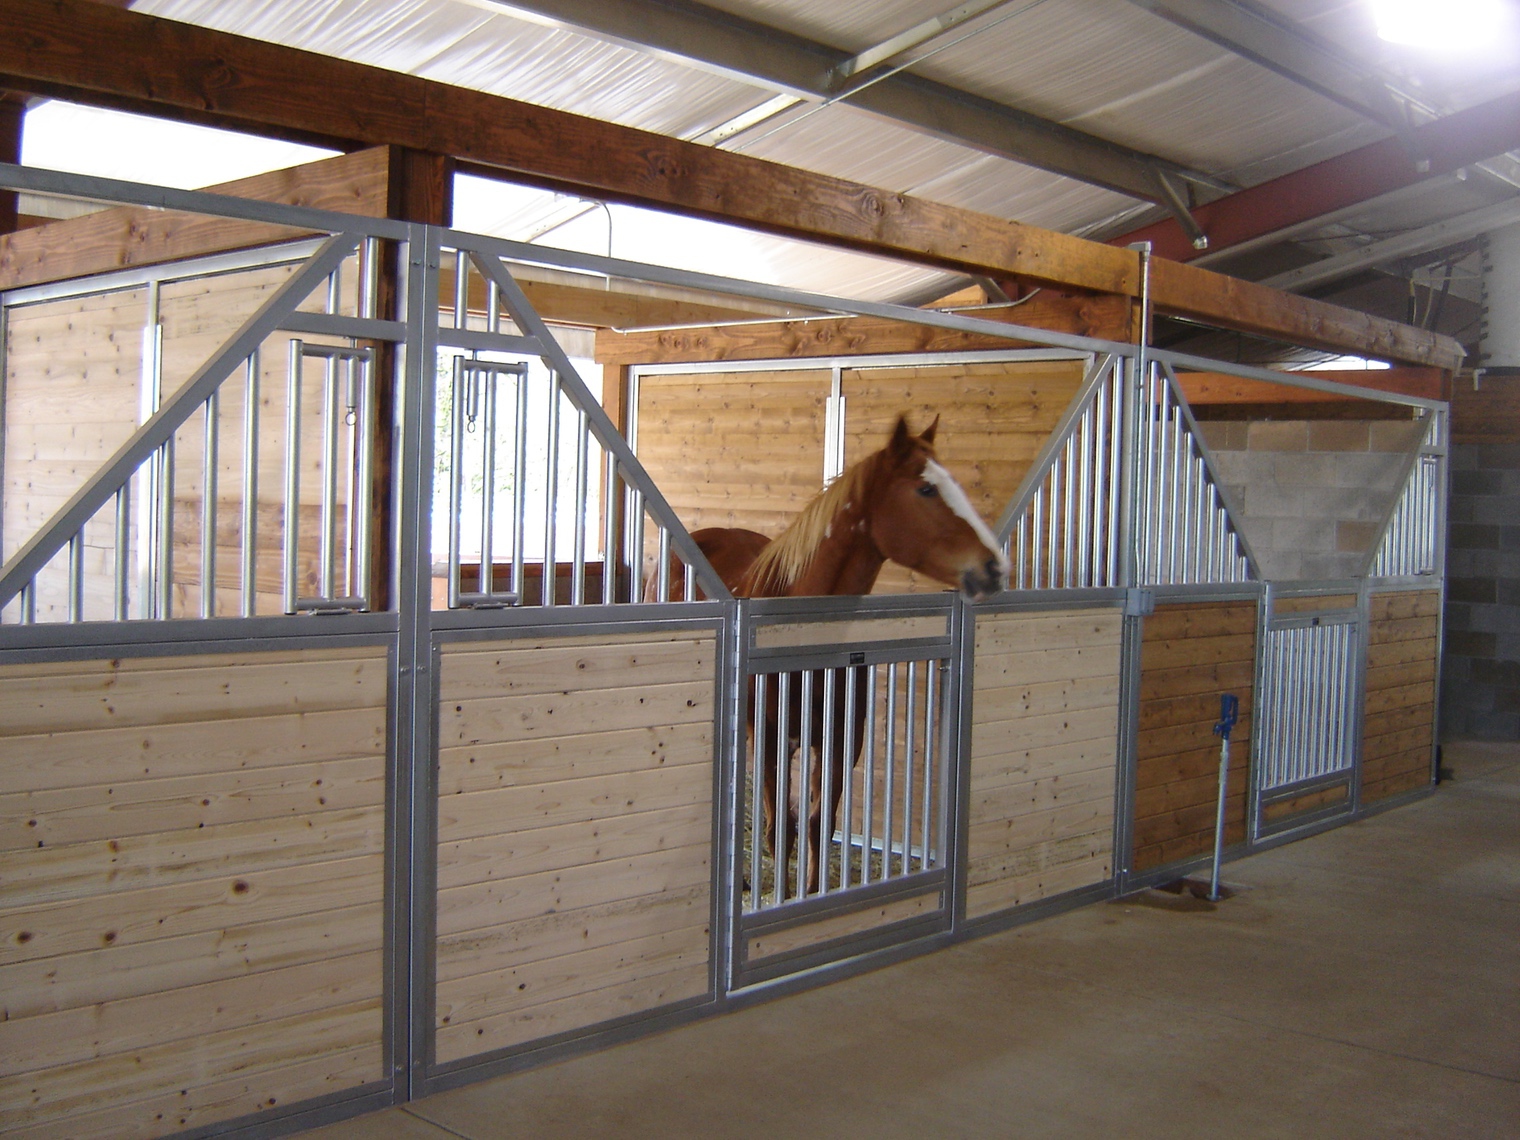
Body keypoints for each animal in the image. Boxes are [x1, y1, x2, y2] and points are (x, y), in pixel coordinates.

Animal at [660, 415, 1007, 900]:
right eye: (925, 489)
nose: (994, 567)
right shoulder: (771, 742)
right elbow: (779, 830)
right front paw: (781, 897)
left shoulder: (843, 743)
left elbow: (817, 825)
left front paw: (810, 893)